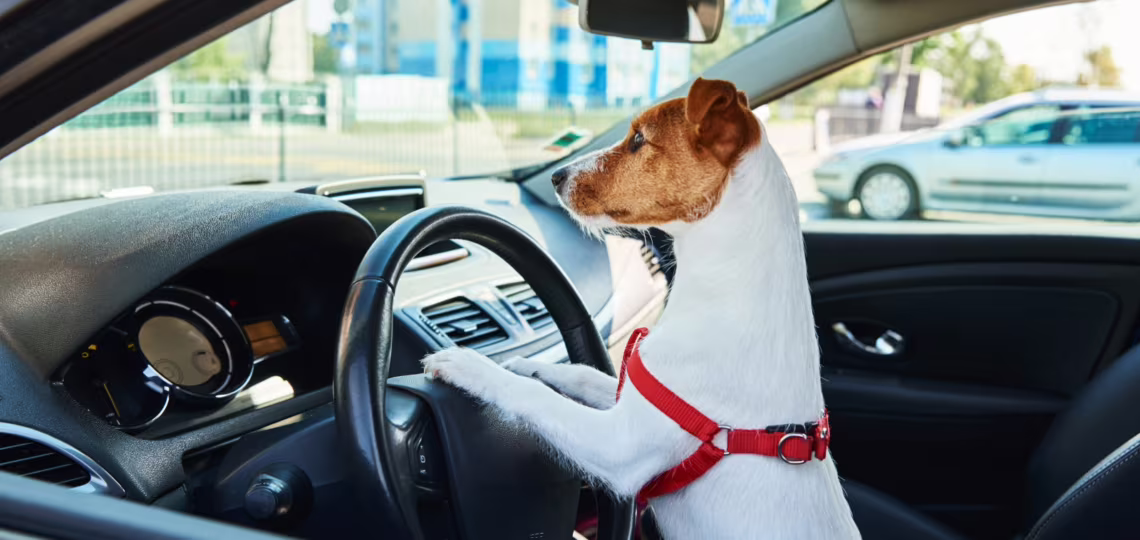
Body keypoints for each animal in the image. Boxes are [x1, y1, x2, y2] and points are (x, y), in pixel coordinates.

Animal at [423, 78, 861, 539]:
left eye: (638, 139)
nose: (557, 176)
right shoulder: (627, 397)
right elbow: (581, 374)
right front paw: (527, 364)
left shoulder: (620, 446)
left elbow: (531, 395)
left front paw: (468, 365)